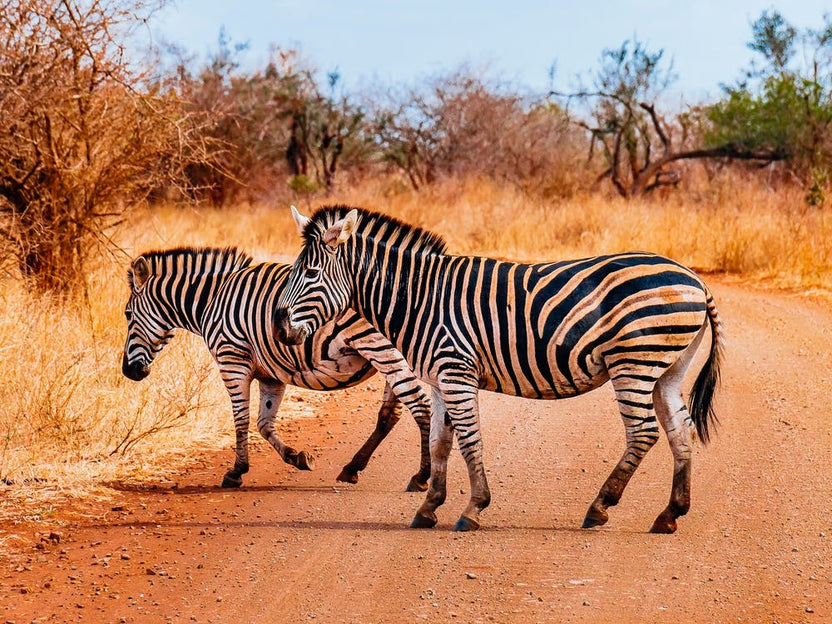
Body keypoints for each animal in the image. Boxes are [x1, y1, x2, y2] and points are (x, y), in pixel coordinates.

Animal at [121, 246, 432, 491]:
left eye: (127, 314)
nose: (128, 372)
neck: (213, 299)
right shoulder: (271, 374)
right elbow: (264, 422)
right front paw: (296, 457)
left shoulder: (231, 360)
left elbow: (241, 419)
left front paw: (236, 472)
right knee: (390, 414)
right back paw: (353, 468)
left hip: (381, 350)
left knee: (420, 405)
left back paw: (421, 477)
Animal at [274, 205, 723, 533]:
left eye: (310, 273)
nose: (278, 328)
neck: (417, 297)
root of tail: (695, 279)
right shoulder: (439, 380)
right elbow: (440, 441)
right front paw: (428, 507)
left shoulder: (456, 371)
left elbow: (470, 440)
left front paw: (473, 509)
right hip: (668, 368)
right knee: (679, 429)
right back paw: (670, 514)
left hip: (635, 361)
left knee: (643, 432)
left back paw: (600, 507)